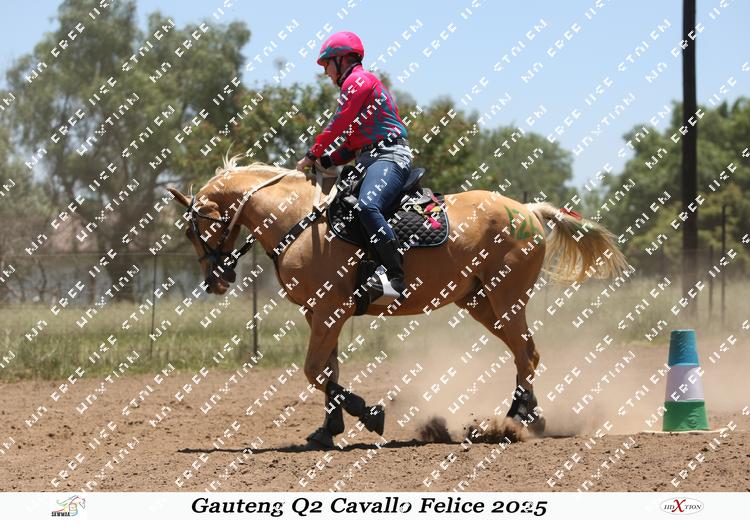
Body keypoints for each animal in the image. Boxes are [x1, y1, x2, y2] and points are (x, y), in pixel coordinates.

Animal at [168, 156, 629, 448]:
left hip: (507, 297)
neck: (299, 220)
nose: (215, 281)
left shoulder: (330, 310)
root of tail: (528, 210)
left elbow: (315, 370)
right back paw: (525, 416)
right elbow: (328, 371)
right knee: (524, 353)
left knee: (527, 354)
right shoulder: (318, 313)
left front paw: (369, 413)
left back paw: (513, 421)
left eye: (195, 229)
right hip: (482, 302)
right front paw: (328, 429)